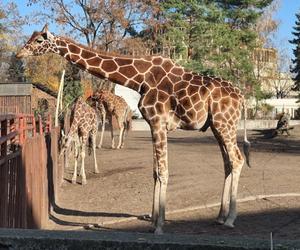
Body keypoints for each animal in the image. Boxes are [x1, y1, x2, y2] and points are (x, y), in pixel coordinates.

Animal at [16, 24, 251, 233]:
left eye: (39, 40)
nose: (19, 53)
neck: (139, 78)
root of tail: (241, 97)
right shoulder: (153, 124)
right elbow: (155, 172)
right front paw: (153, 220)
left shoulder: (158, 122)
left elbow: (163, 172)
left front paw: (159, 225)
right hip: (216, 126)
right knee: (228, 163)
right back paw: (220, 217)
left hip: (224, 123)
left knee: (237, 159)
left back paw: (230, 219)